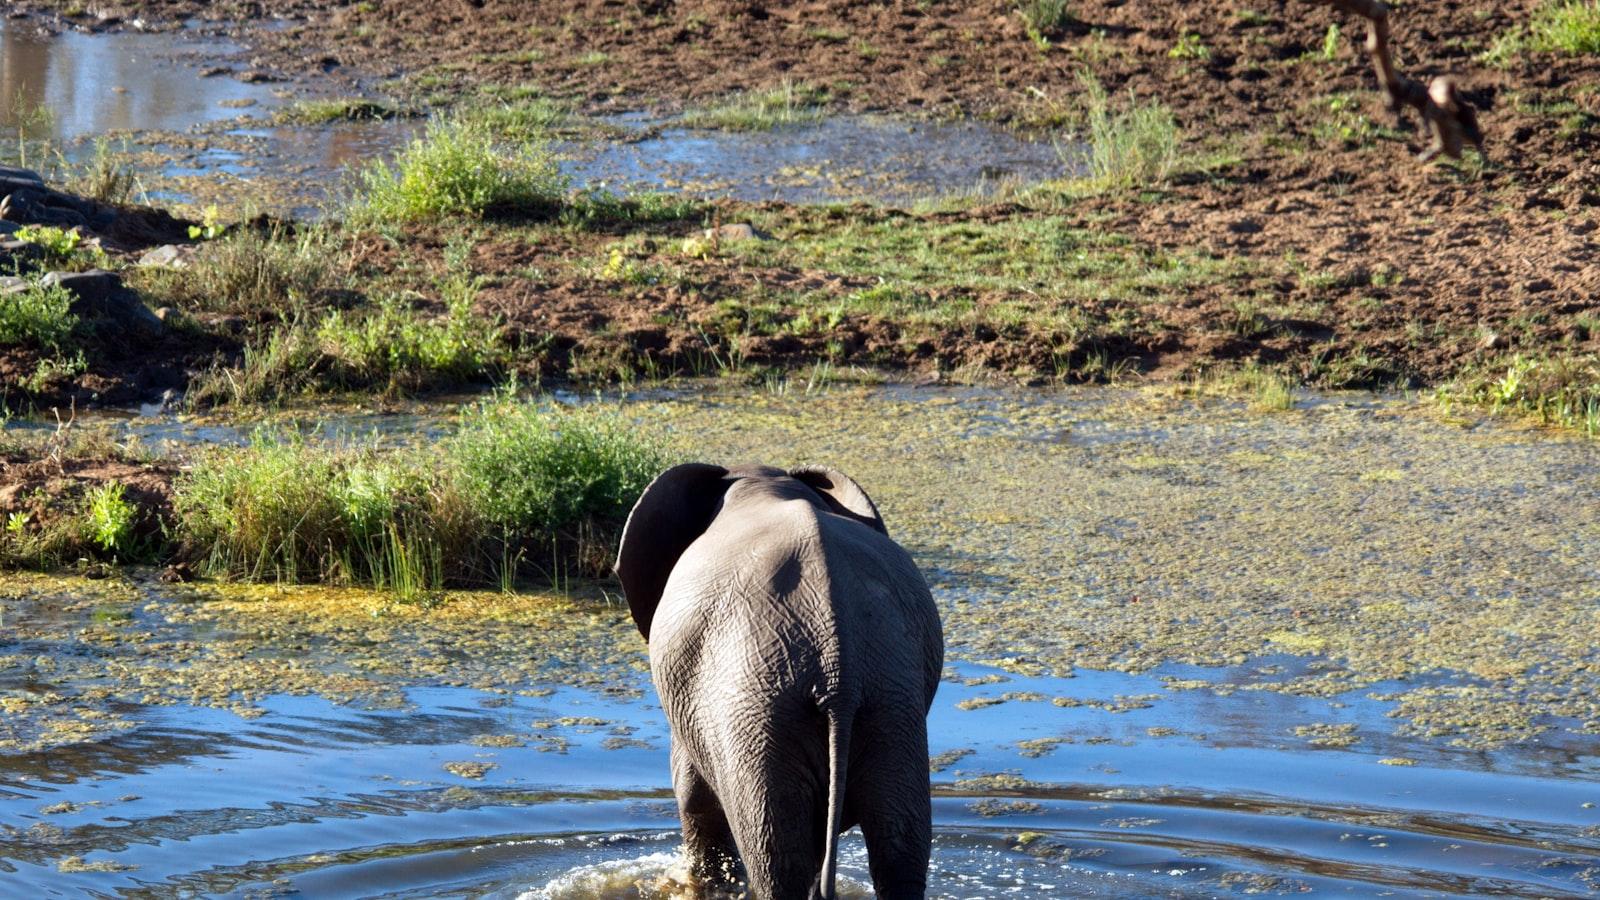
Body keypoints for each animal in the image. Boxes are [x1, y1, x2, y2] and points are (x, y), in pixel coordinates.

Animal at [611, 461, 934, 896]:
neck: (762, 482)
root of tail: (839, 674)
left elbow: (691, 790)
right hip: (889, 701)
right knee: (900, 847)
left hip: (760, 709)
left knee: (774, 857)